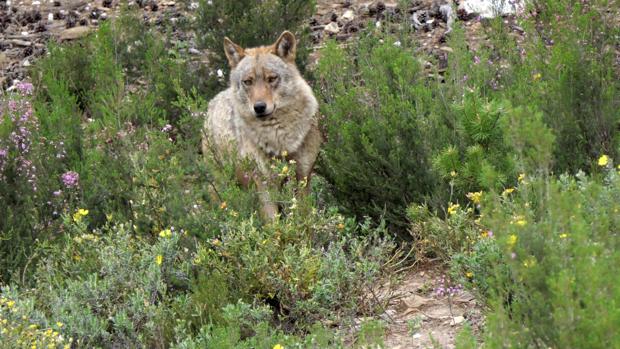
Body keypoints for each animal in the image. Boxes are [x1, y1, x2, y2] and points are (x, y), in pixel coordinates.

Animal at [202, 31, 322, 219]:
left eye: (271, 78)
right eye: (248, 81)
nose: (259, 107)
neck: (281, 140)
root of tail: (213, 101)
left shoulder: (303, 178)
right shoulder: (264, 185)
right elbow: (274, 225)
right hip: (225, 183)